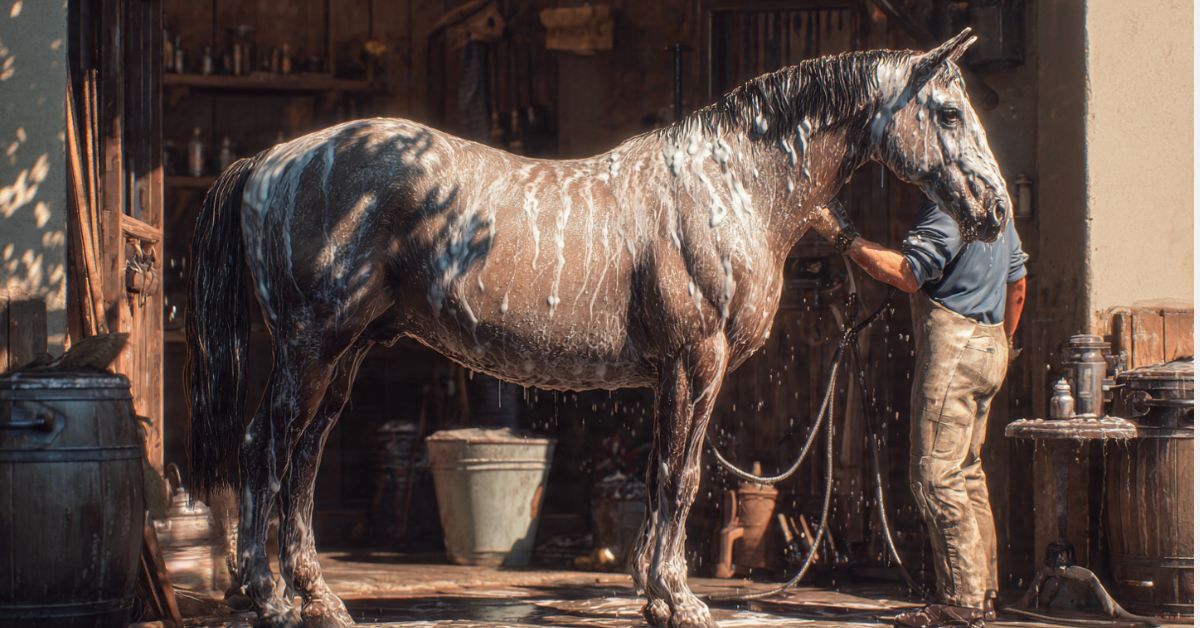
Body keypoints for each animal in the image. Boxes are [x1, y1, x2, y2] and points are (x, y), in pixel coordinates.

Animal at [187, 28, 1008, 628]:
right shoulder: (696, 362)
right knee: (265, 446)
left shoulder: (670, 374)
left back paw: (317, 597)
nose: (994, 210)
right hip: (310, 348)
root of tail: (276, 158)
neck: (730, 187)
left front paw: (653, 594)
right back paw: (266, 595)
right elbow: (683, 477)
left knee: (303, 459)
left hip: (347, 352)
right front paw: (680, 599)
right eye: (948, 112)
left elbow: (659, 475)